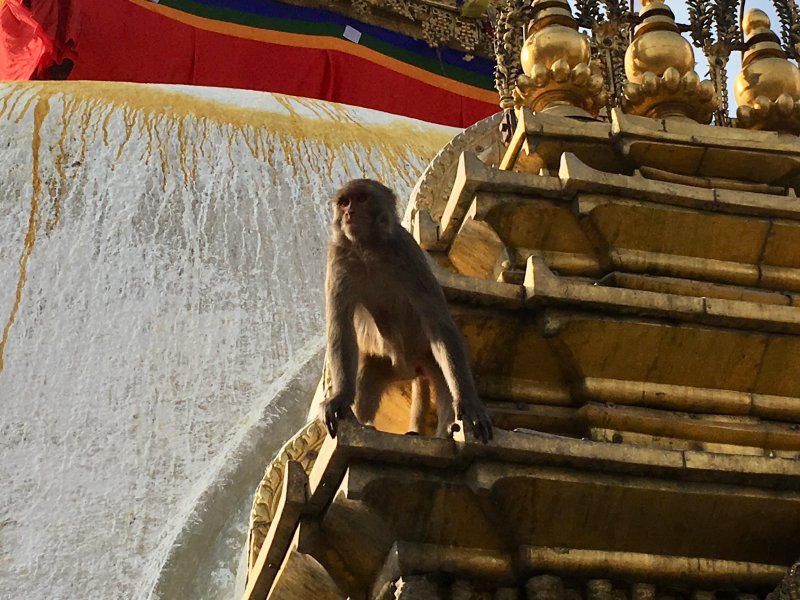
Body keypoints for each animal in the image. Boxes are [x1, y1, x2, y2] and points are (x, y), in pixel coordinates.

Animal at [320, 178, 493, 443]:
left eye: (362, 198)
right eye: (344, 202)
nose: (349, 213)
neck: (369, 249)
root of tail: (408, 369)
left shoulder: (407, 253)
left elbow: (438, 323)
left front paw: (469, 403)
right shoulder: (339, 257)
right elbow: (341, 326)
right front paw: (339, 398)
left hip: (427, 355)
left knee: (443, 371)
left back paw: (446, 430)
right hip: (382, 363)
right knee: (366, 378)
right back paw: (363, 424)